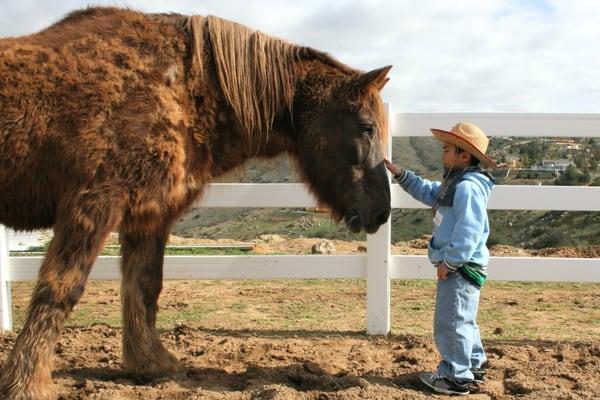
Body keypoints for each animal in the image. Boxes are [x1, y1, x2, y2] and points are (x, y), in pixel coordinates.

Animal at [0, 7, 392, 400]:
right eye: (367, 127)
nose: (381, 211)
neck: (179, 88)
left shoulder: (150, 215)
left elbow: (144, 286)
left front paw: (150, 364)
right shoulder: (93, 204)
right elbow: (61, 288)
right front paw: (27, 382)